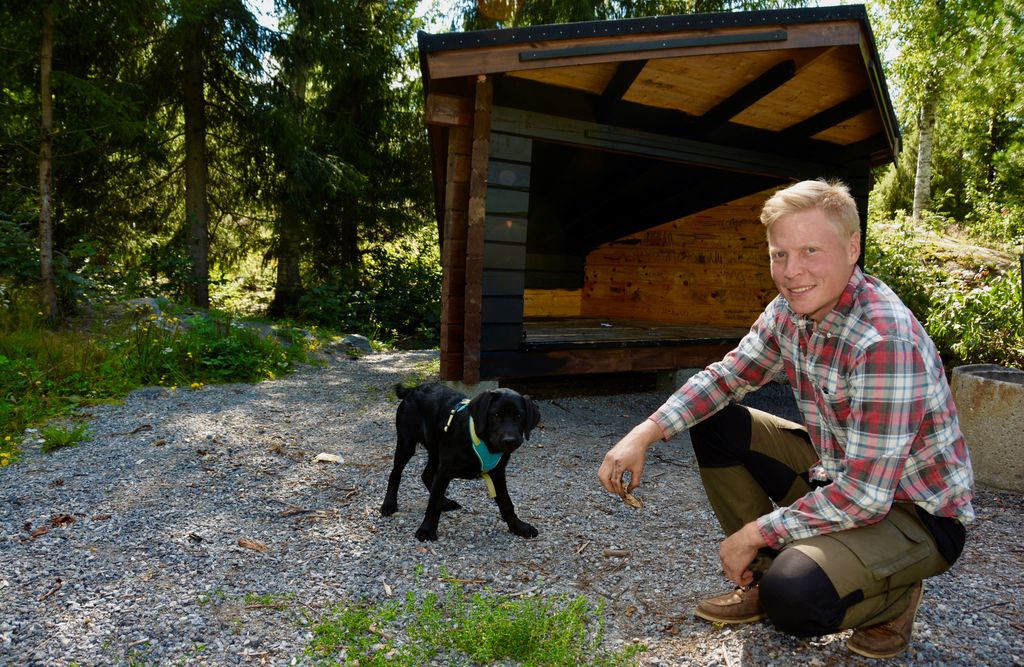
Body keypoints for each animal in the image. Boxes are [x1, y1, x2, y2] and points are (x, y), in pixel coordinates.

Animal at [382, 381, 544, 540]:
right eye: (496, 415)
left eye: (519, 416)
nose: (509, 441)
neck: (484, 442)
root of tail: (413, 389)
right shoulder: (444, 471)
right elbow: (433, 504)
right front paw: (427, 530)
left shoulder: (498, 473)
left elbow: (506, 503)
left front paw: (518, 526)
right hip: (407, 444)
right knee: (395, 473)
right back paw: (389, 504)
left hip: (436, 450)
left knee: (426, 475)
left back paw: (445, 502)